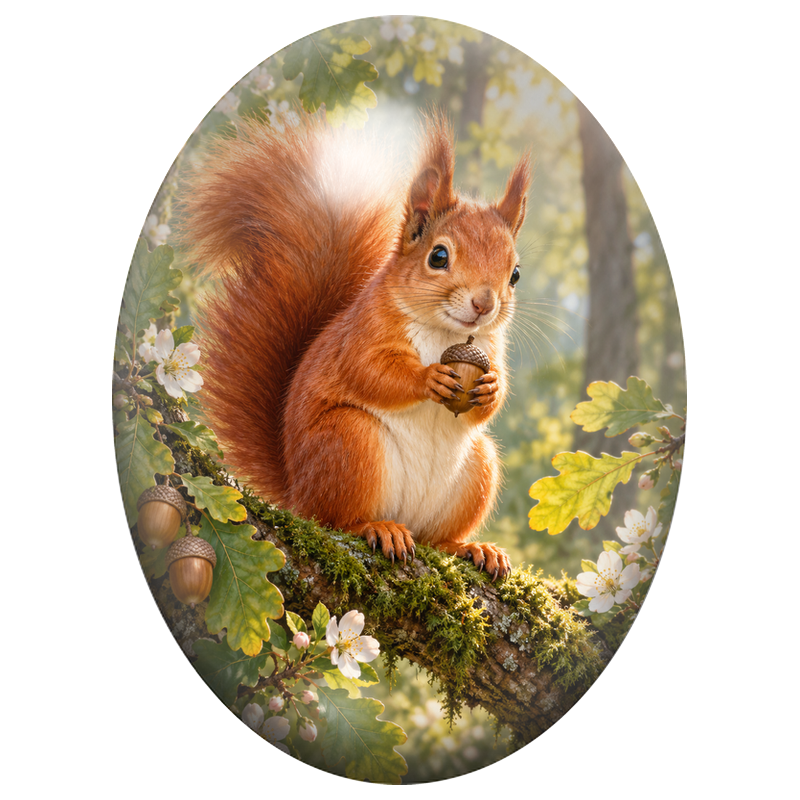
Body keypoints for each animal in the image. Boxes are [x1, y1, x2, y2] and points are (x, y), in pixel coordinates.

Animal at [178, 113, 531, 580]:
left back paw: (471, 547)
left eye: (515, 274)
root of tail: (298, 493)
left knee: (437, 537)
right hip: (350, 442)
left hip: (479, 466)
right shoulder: (363, 332)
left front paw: (489, 388)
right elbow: (370, 371)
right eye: (438, 256)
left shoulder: (493, 347)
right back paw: (378, 527)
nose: (483, 304)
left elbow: (495, 396)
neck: (447, 334)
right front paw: (429, 377)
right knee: (338, 519)